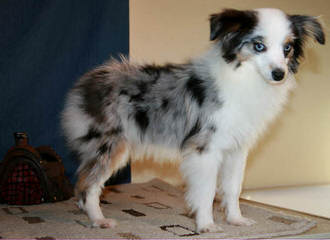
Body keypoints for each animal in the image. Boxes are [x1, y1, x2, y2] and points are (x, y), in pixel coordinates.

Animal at [62, 8, 324, 233]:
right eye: (259, 46)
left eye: (287, 48)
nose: (279, 74)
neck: (245, 78)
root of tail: (86, 83)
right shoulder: (205, 148)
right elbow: (206, 191)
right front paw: (207, 226)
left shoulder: (237, 149)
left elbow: (233, 188)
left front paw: (236, 220)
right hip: (109, 144)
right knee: (87, 185)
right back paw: (99, 220)